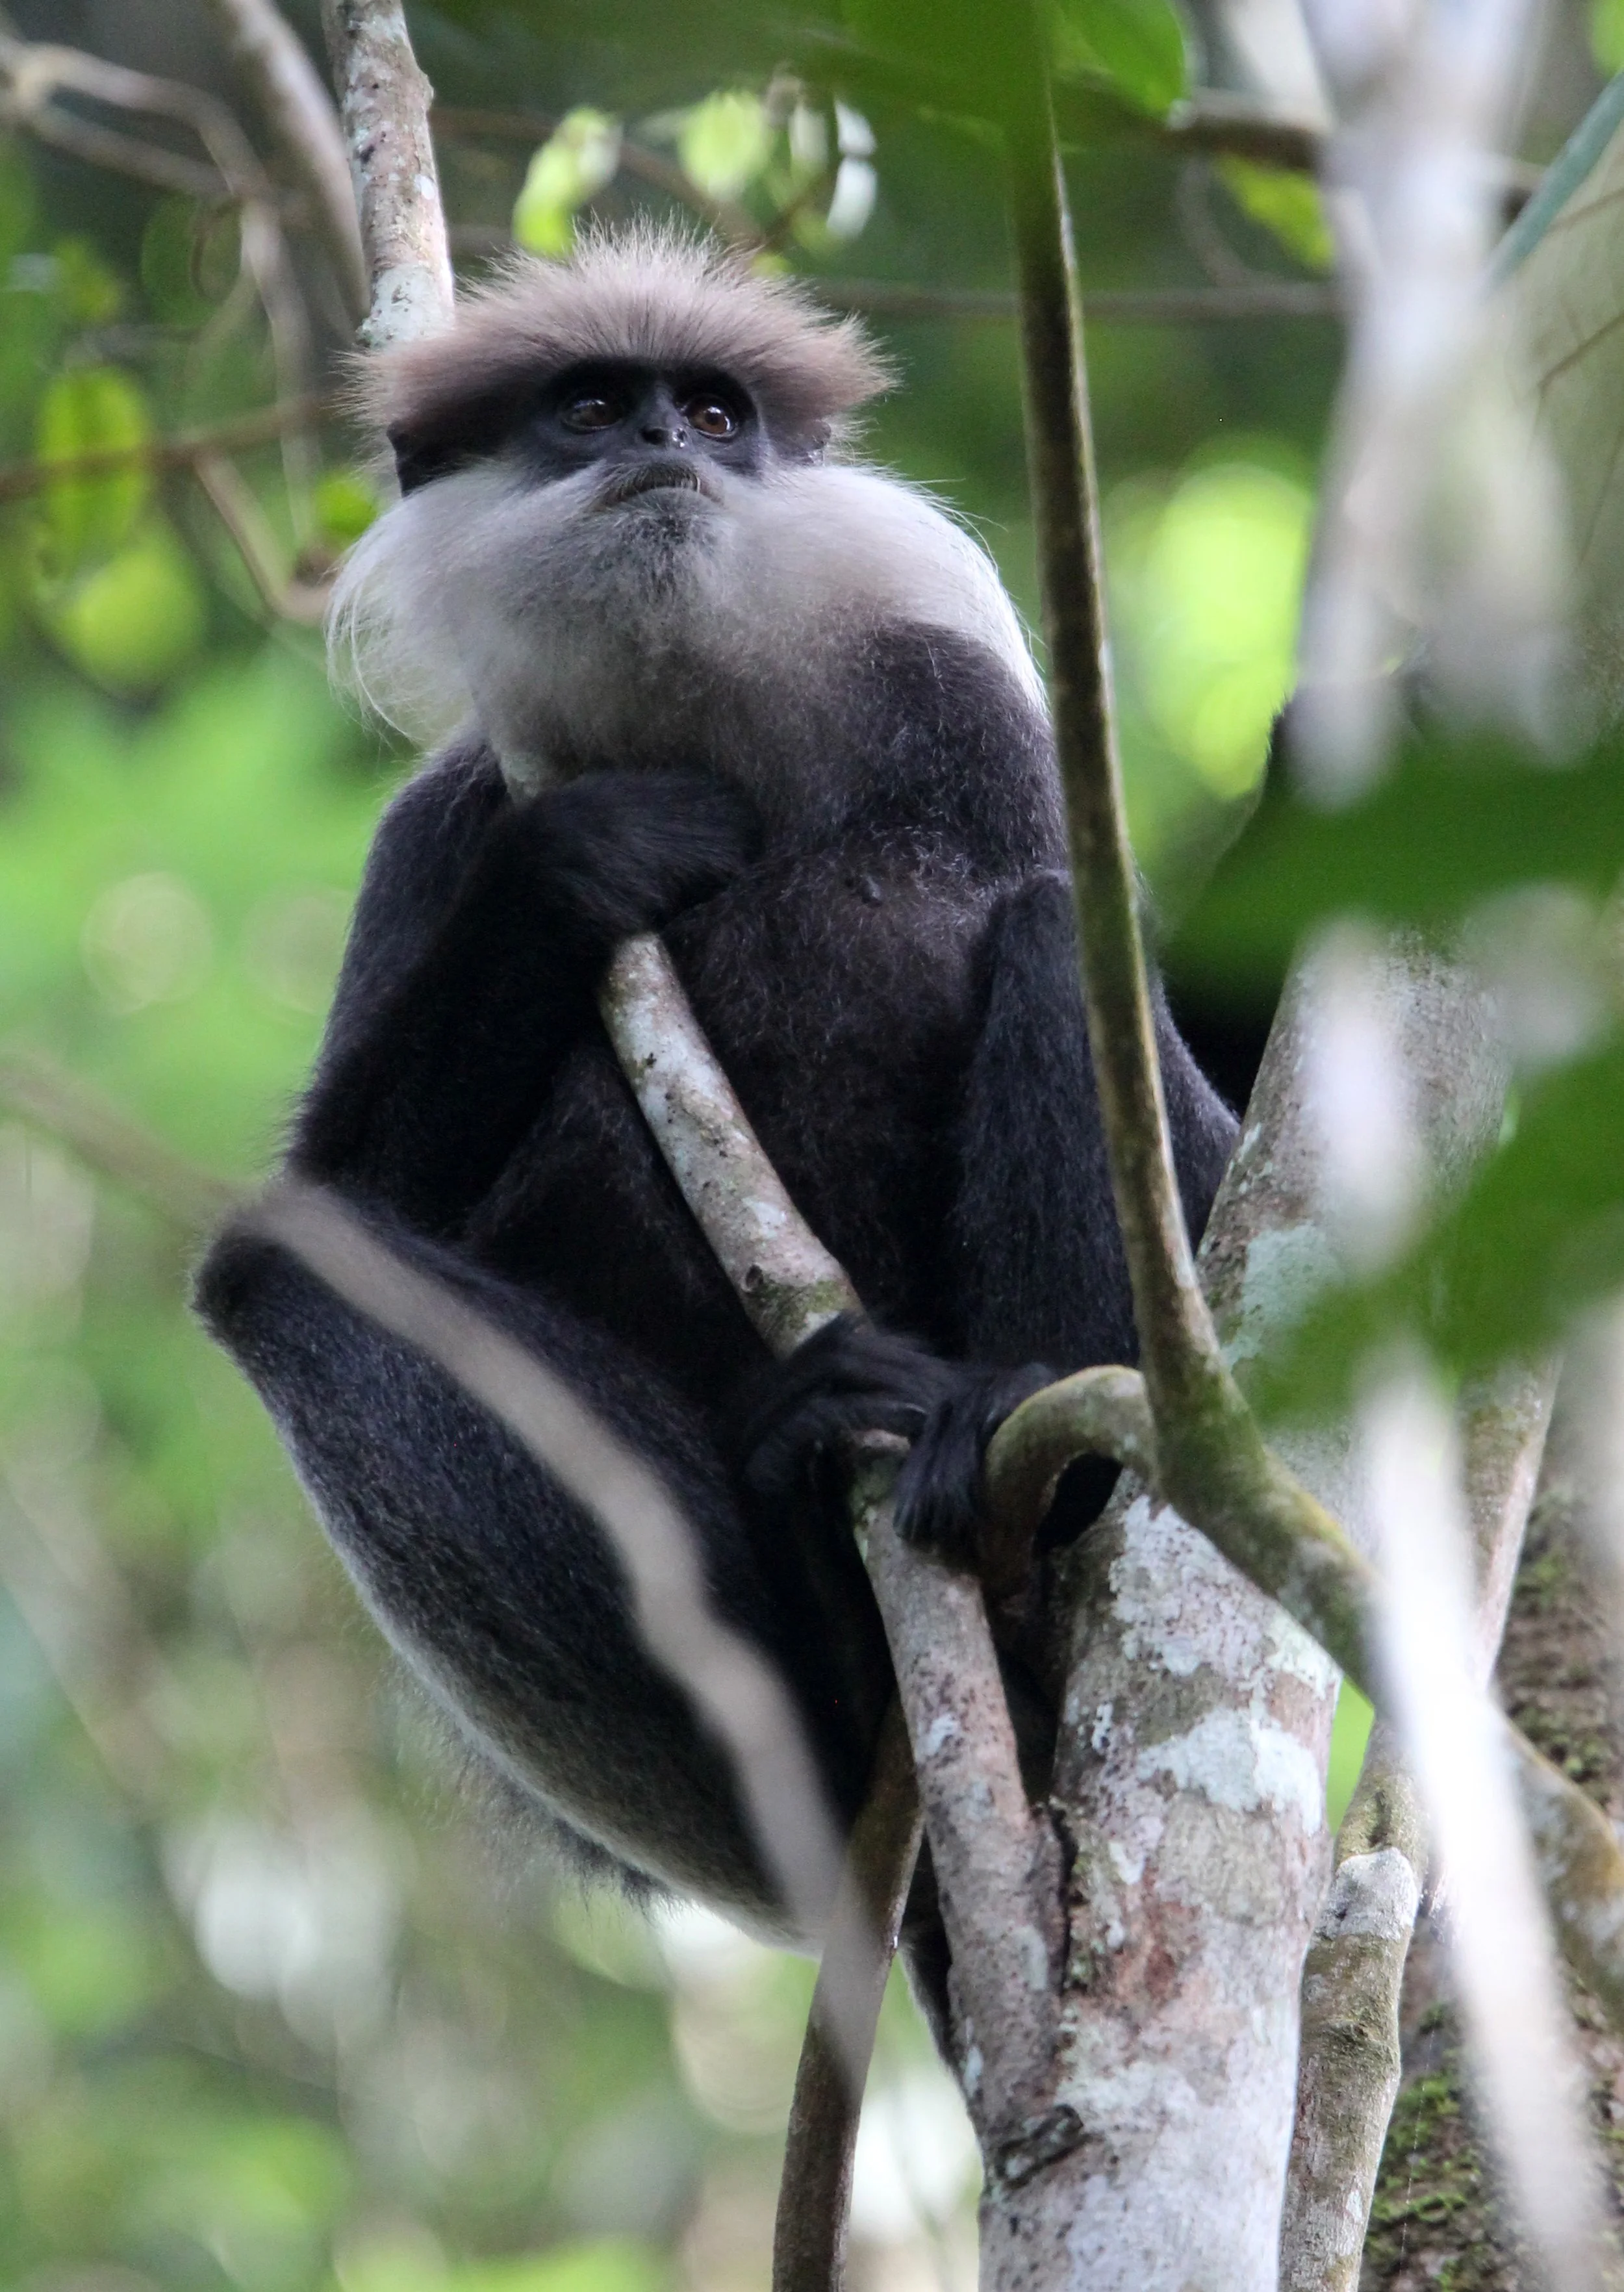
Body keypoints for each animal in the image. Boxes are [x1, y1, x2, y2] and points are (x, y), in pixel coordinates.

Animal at [194, 224, 1239, 1949]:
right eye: (588, 406)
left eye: (712, 413)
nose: (658, 445)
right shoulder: (438, 826)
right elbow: (355, 1190)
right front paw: (580, 861)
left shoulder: (957, 702)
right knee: (283, 1270)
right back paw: (816, 1537)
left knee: (1042, 935)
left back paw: (1019, 1499)